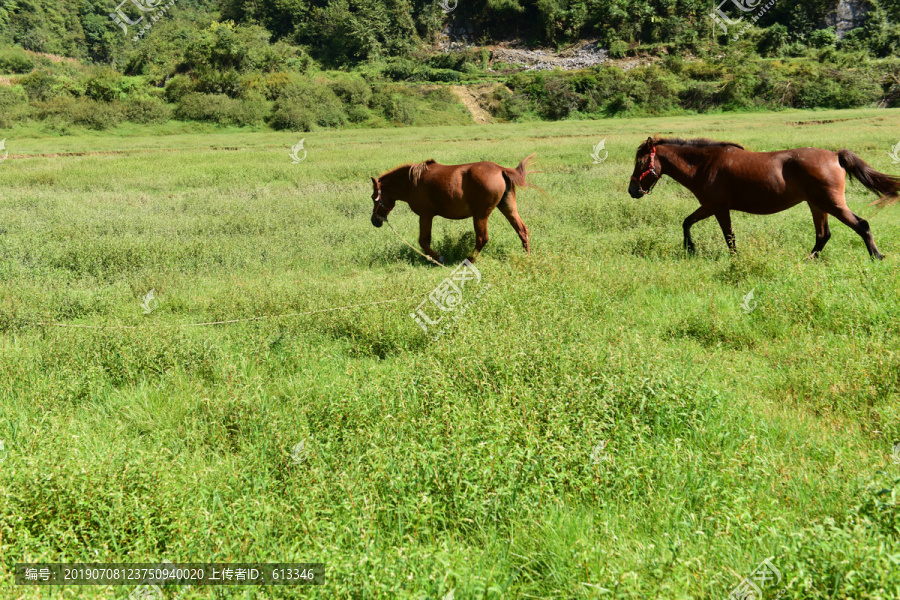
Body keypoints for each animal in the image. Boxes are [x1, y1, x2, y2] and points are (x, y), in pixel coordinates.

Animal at [370, 155, 535, 263]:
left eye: (373, 197)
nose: (374, 221)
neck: (412, 182)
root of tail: (501, 169)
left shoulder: (425, 215)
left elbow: (423, 241)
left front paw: (438, 258)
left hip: (480, 215)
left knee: (482, 238)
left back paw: (468, 261)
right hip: (508, 208)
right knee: (522, 231)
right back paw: (527, 257)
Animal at [628, 137, 900, 259]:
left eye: (641, 162)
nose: (632, 190)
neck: (705, 165)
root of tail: (835, 155)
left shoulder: (718, 207)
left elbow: (729, 236)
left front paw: (733, 259)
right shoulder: (708, 206)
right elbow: (686, 222)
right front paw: (690, 248)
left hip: (831, 203)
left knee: (861, 225)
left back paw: (876, 256)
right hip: (817, 204)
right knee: (823, 235)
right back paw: (809, 259)